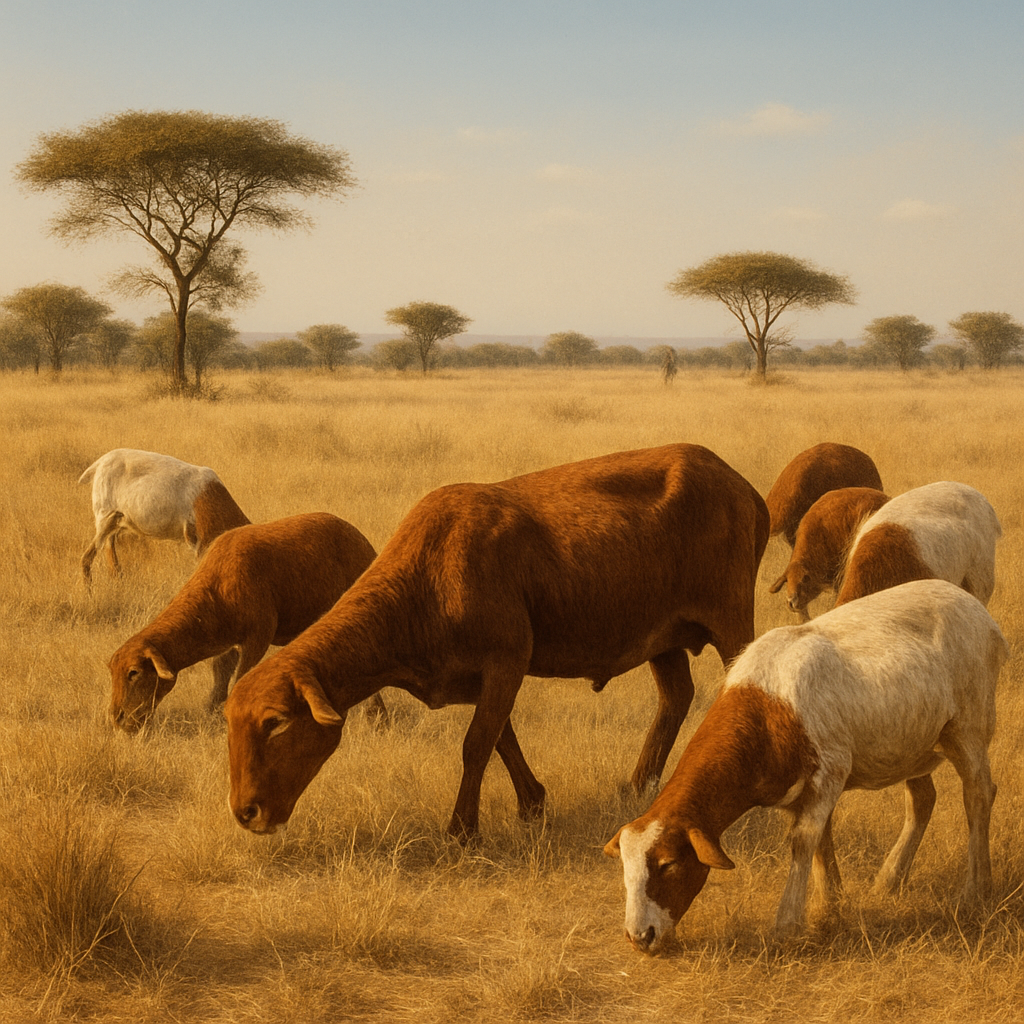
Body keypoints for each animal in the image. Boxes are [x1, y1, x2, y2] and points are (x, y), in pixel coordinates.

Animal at [80, 448, 249, 581]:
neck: (210, 493)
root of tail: (99, 464)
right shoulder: (200, 544)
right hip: (104, 520)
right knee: (86, 559)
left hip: (115, 523)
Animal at [108, 512, 387, 732]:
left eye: (134, 672)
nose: (117, 719)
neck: (214, 592)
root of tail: (361, 539)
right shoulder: (227, 642)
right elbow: (220, 674)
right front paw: (212, 709)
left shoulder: (258, 637)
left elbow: (240, 678)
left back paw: (375, 714)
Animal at [605, 579, 1007, 953]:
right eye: (625, 869)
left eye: (668, 864)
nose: (639, 937)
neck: (765, 706)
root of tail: (975, 607)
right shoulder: (797, 788)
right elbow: (820, 841)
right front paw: (831, 903)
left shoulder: (831, 769)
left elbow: (803, 841)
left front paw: (788, 923)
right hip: (911, 742)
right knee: (923, 798)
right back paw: (890, 878)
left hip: (969, 724)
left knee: (979, 795)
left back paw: (976, 890)